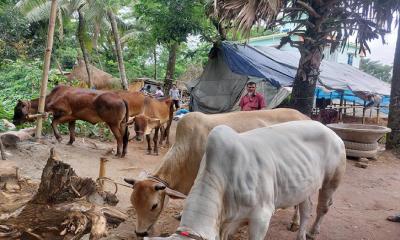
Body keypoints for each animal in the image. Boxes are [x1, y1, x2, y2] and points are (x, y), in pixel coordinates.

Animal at [122, 109, 310, 236]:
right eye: (132, 202)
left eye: (154, 205)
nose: (139, 232)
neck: (188, 150)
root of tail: (305, 117)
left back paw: (295, 222)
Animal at [146, 122, 346, 240]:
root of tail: (330, 130)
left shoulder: (262, 216)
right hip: (303, 186)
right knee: (306, 209)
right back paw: (301, 235)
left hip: (332, 180)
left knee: (322, 207)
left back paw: (312, 232)